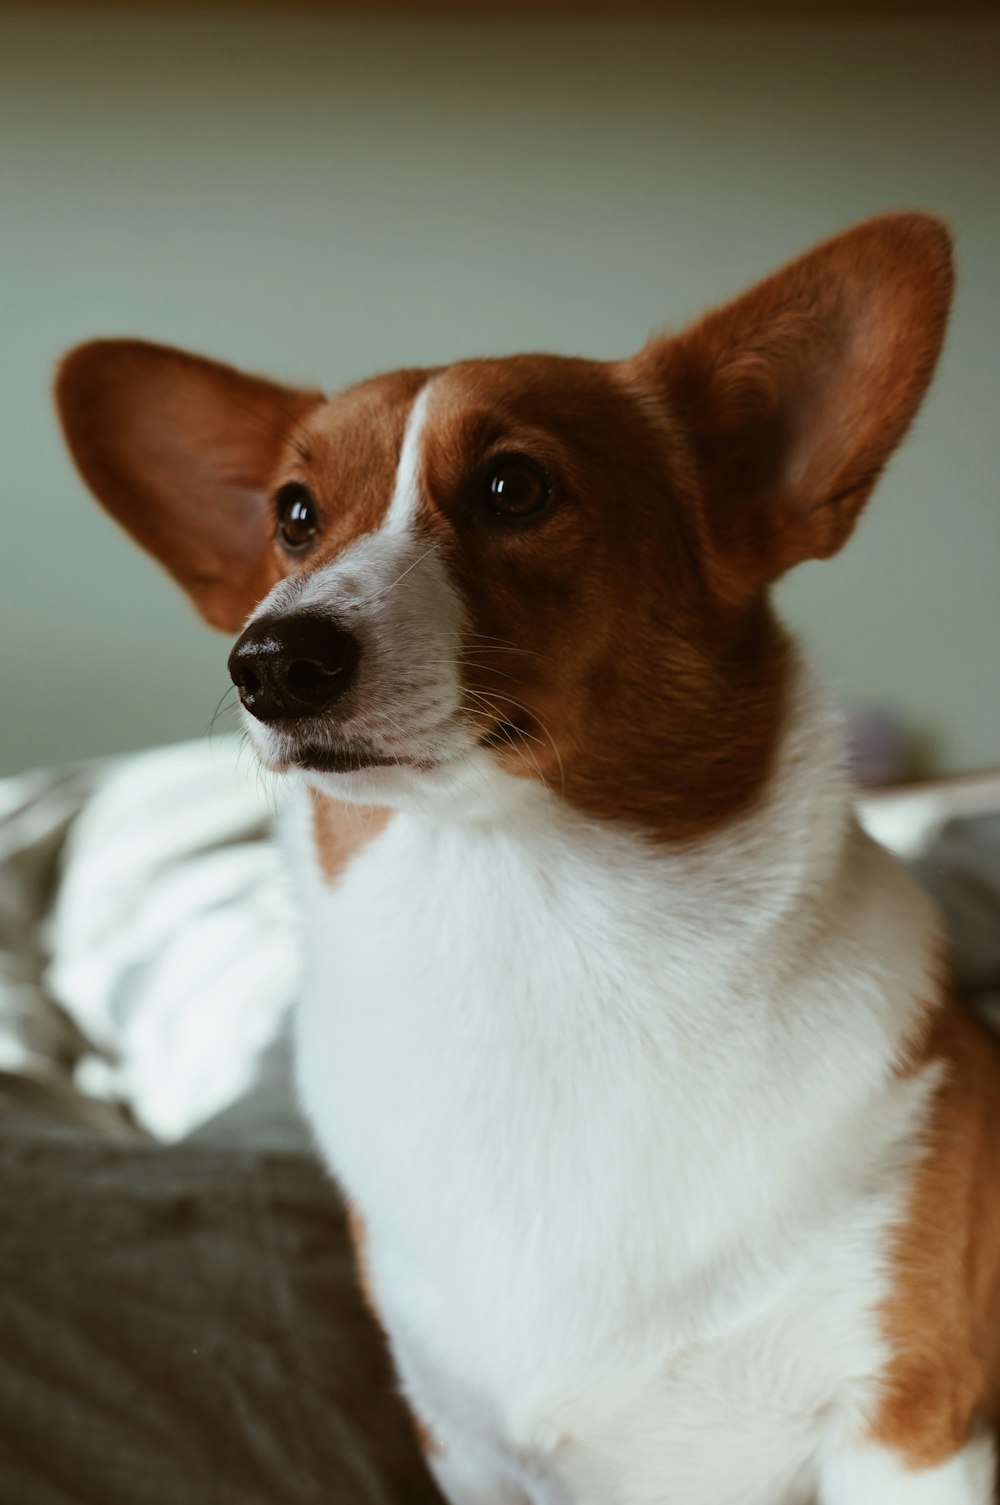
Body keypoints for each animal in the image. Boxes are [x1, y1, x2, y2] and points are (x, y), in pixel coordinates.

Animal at [56, 215, 1000, 1505]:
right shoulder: (469, 1446)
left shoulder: (907, 1420)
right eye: (293, 513)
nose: (272, 660)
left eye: (515, 485)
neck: (525, 923)